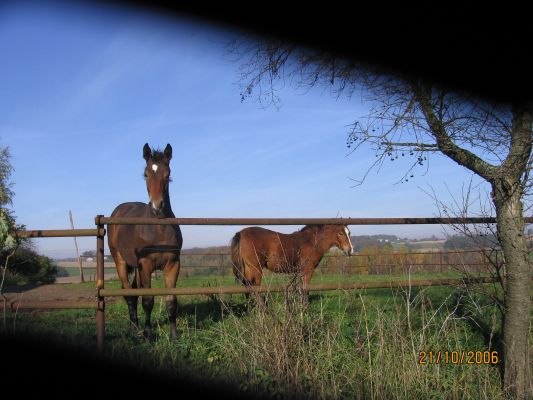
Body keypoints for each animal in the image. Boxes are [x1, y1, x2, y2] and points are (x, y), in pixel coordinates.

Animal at [107, 142, 183, 340]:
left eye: (168, 174)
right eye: (146, 174)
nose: (157, 207)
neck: (158, 230)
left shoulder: (173, 264)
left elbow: (171, 300)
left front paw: (174, 335)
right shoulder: (146, 265)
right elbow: (148, 300)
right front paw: (149, 334)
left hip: (136, 267)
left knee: (134, 292)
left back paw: (135, 325)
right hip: (121, 261)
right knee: (128, 293)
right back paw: (134, 329)